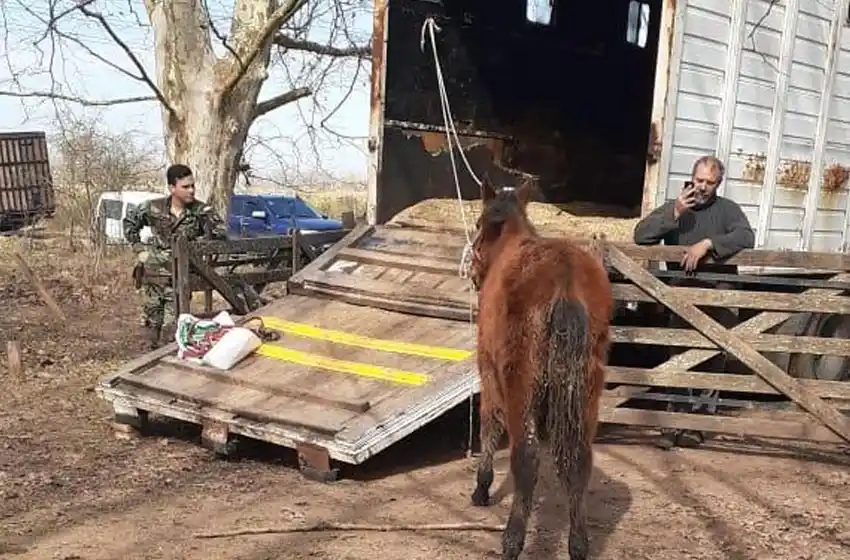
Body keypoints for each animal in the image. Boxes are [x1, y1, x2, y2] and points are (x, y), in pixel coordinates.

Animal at [468, 178, 613, 560]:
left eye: (479, 224)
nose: (473, 273)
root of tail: (565, 279)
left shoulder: (489, 373)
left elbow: (489, 426)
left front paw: (481, 489)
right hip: (587, 390)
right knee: (579, 462)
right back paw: (578, 545)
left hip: (520, 384)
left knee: (525, 459)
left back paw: (512, 540)